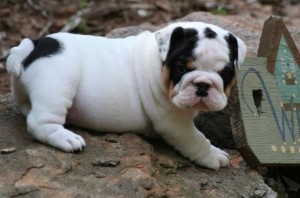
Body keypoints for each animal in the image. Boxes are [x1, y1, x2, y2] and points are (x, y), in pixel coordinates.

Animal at [6, 22, 246, 170]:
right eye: (180, 67)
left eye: (225, 73)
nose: (203, 85)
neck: (159, 64)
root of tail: (34, 44)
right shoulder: (174, 122)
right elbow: (196, 139)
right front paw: (213, 155)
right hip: (57, 83)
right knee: (40, 121)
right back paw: (66, 138)